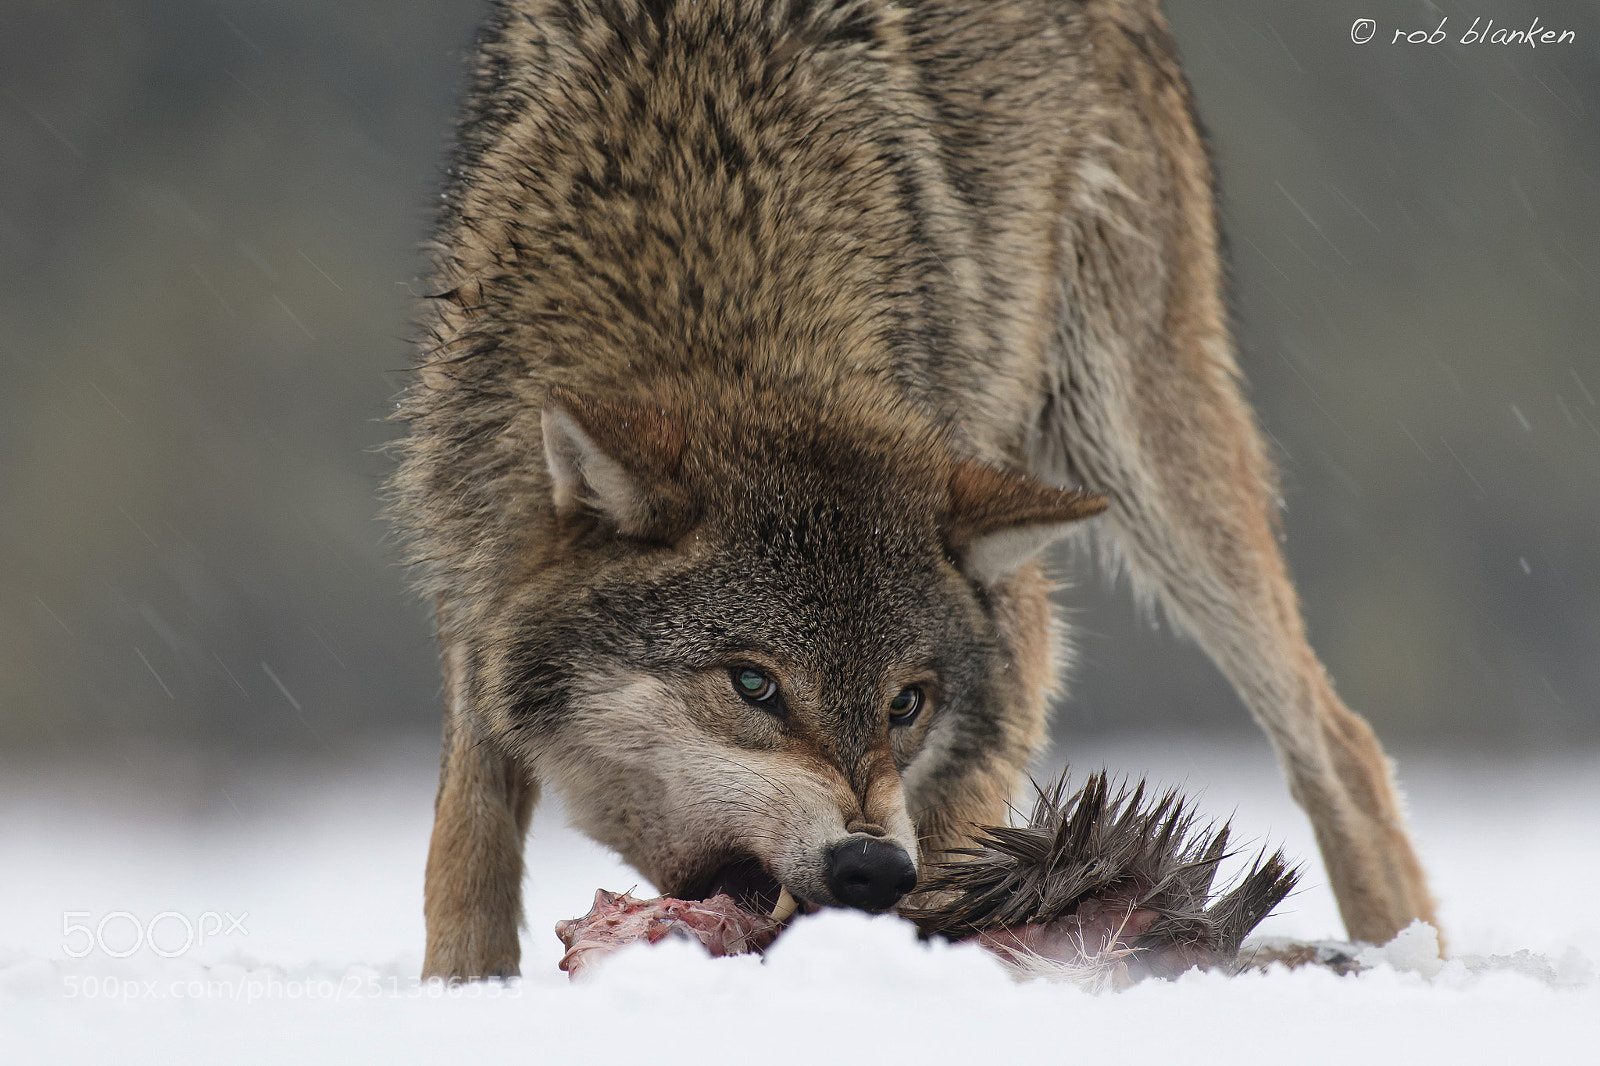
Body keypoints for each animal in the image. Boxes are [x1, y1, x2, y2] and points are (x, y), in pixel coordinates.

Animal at [389, 0, 1436, 980]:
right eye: (754, 685)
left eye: (908, 703)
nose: (871, 870)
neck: (711, 300)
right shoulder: (474, 599)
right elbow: (466, 858)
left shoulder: (1014, 632)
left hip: (1135, 440)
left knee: (1340, 744)